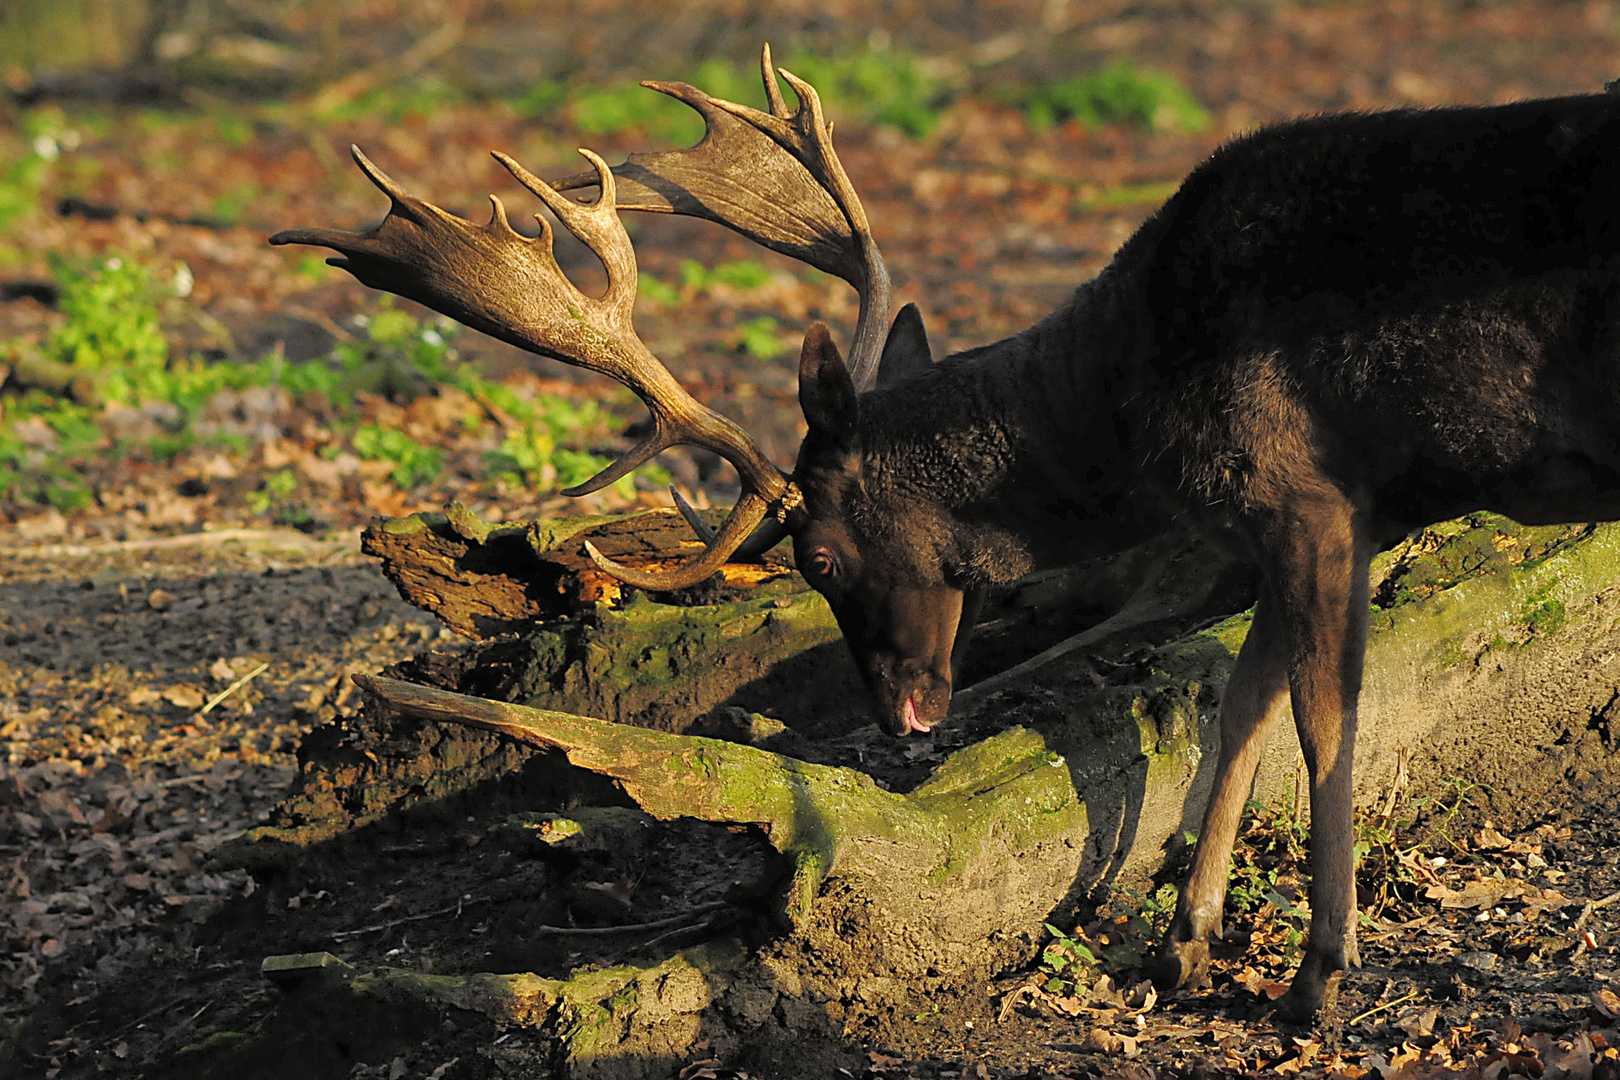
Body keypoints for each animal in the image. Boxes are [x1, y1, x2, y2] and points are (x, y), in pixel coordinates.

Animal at [272, 44, 1620, 1023]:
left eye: (816, 556)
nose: (897, 714)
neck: (1130, 404)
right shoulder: (1318, 518)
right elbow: (1238, 701)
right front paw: (1180, 946)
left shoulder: (1312, 495)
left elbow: (1319, 717)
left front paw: (1315, 980)